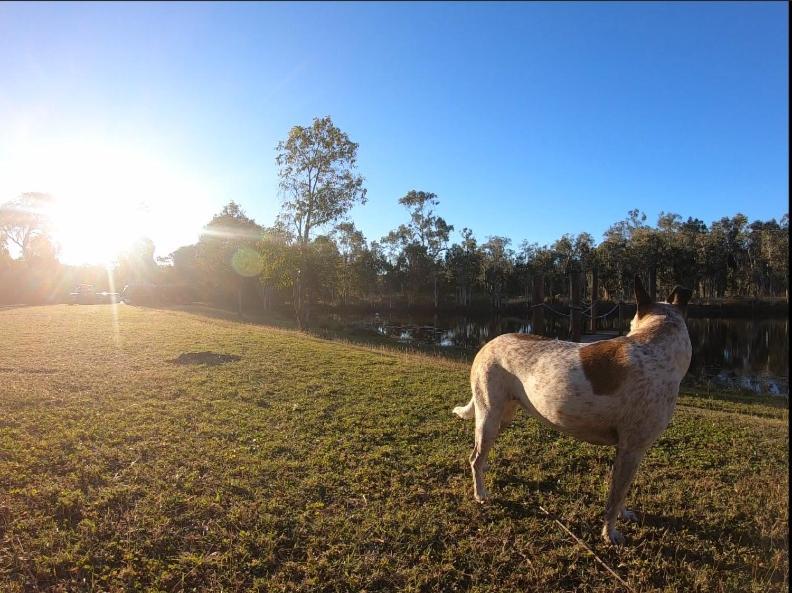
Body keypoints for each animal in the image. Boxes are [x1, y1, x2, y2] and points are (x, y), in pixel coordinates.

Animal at [454, 276, 688, 544]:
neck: (656, 346)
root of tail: (488, 344)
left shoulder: (629, 451)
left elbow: (623, 492)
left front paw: (624, 514)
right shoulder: (631, 449)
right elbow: (615, 497)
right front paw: (610, 534)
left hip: (502, 417)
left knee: (480, 455)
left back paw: (485, 469)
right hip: (489, 416)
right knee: (474, 457)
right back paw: (480, 494)